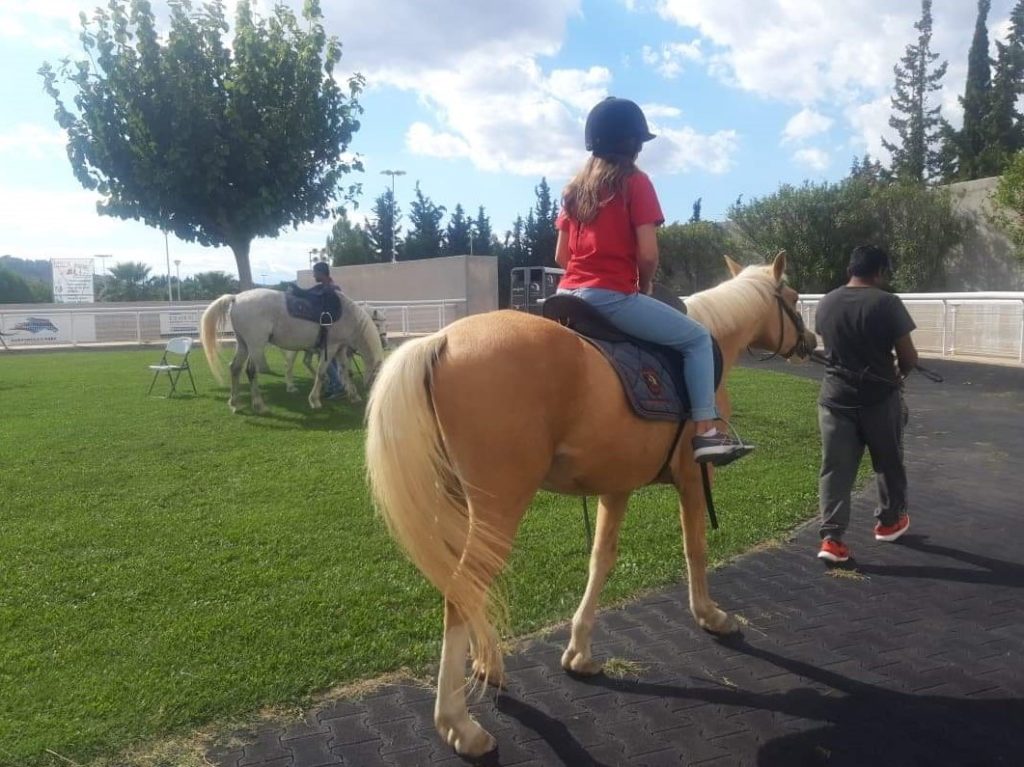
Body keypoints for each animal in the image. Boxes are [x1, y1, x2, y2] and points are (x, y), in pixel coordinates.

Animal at [199, 288, 385, 413]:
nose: (385, 340)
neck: (348, 316)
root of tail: (236, 298)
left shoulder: (340, 349)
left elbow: (346, 372)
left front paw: (353, 396)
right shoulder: (330, 348)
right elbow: (321, 373)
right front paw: (314, 400)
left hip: (243, 345)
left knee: (235, 368)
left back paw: (235, 403)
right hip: (256, 345)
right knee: (251, 371)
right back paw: (259, 405)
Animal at [366, 253, 815, 757]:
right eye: (792, 297)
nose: (811, 342)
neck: (711, 335)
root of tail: (442, 339)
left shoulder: (616, 486)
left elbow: (601, 559)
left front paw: (580, 652)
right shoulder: (693, 480)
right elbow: (695, 547)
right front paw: (710, 615)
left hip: (467, 508)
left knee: (468, 587)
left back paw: (488, 666)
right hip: (500, 505)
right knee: (462, 590)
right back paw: (459, 725)